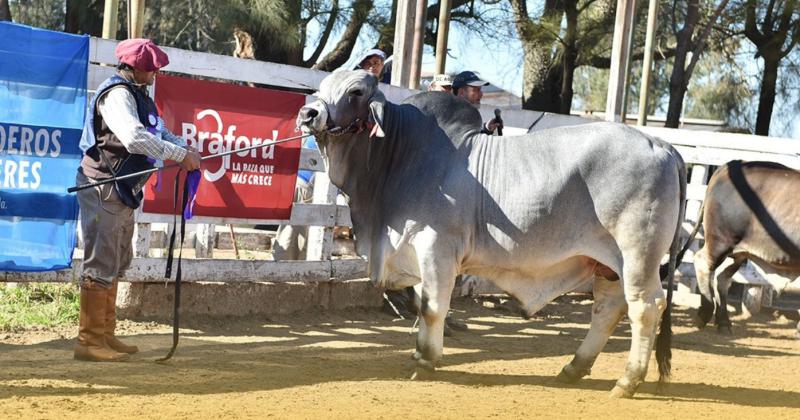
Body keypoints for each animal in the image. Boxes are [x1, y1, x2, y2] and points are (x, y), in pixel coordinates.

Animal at [296, 70, 684, 398]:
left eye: (356, 91)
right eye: (323, 85)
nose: (308, 113)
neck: (399, 155)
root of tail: (662, 145)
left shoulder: (437, 246)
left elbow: (434, 307)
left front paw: (426, 362)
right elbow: (422, 304)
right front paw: (420, 353)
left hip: (637, 255)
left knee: (645, 308)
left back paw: (627, 382)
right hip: (607, 263)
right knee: (608, 309)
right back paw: (574, 368)